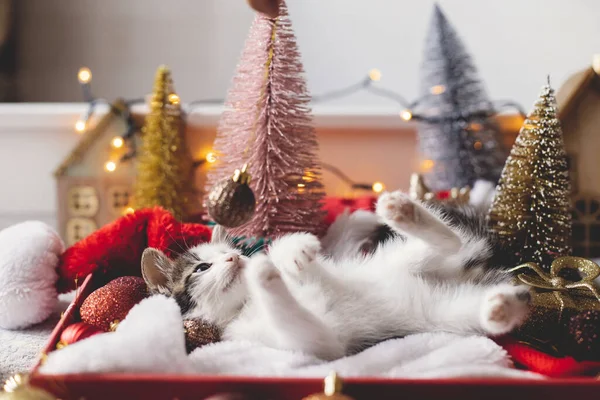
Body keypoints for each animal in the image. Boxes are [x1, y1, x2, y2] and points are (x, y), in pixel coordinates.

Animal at [143, 191, 532, 360]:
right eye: (201, 268)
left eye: (233, 250)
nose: (235, 258)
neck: (243, 305)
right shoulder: (314, 345)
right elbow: (310, 334)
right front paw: (265, 274)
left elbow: (298, 257)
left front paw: (288, 251)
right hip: (446, 313)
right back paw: (504, 307)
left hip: (395, 263)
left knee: (450, 241)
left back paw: (402, 211)